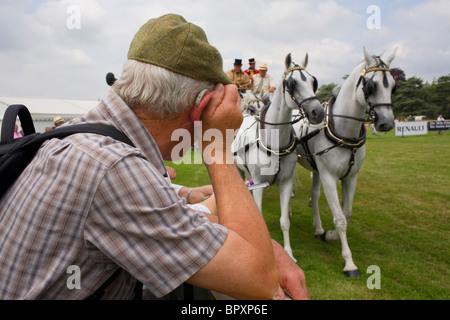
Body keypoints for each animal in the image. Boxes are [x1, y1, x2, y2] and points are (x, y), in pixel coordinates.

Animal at [234, 53, 326, 262]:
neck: (275, 144)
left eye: (313, 81)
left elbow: (284, 220)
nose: (318, 112)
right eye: (291, 83)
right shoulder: (258, 181)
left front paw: (289, 253)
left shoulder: (285, 182)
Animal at [294, 47, 396, 276]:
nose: (386, 123)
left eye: (393, 86)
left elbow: (347, 213)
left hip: (317, 169)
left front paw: (329, 234)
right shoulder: (329, 177)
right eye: (371, 85)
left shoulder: (350, 177)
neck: (343, 131)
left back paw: (318, 228)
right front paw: (349, 262)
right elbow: (340, 219)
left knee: (315, 194)